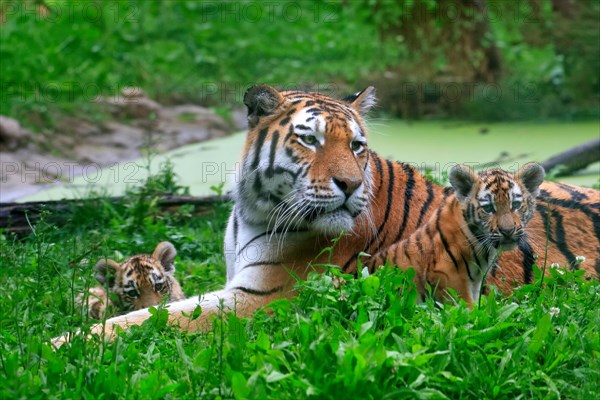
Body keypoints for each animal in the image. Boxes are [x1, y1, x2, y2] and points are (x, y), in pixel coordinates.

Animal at [54, 83, 596, 344]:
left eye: (356, 146)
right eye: (309, 139)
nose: (350, 185)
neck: (251, 214)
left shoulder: (263, 299)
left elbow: (151, 319)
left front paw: (61, 343)